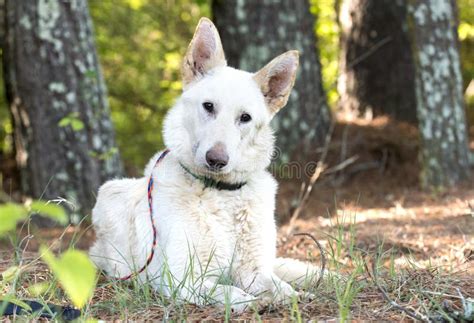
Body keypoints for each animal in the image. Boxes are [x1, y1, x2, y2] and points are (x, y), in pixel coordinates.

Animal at [89, 17, 318, 314]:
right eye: (208, 106)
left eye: (245, 117)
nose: (216, 160)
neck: (221, 193)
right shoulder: (182, 278)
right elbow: (233, 292)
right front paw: (258, 302)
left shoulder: (254, 270)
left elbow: (281, 286)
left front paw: (291, 296)